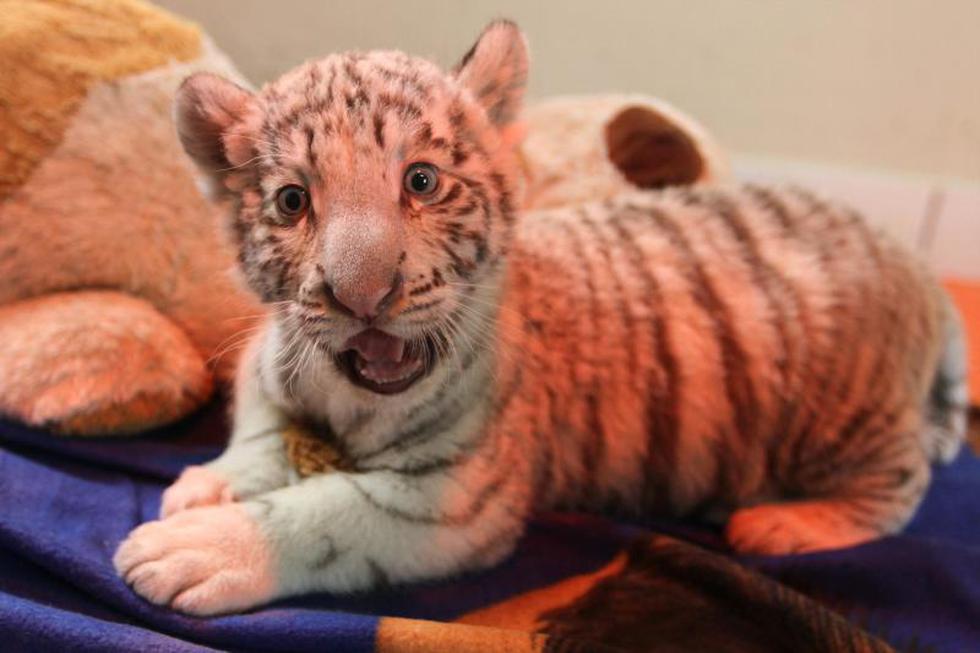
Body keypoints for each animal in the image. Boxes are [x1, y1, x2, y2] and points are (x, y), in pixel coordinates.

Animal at [114, 21, 968, 616]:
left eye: (420, 181)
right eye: (293, 201)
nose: (363, 295)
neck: (340, 391)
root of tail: (913, 264)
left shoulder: (453, 498)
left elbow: (331, 512)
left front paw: (194, 546)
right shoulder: (269, 373)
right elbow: (257, 437)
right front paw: (205, 485)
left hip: (849, 416)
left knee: (903, 484)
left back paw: (786, 524)